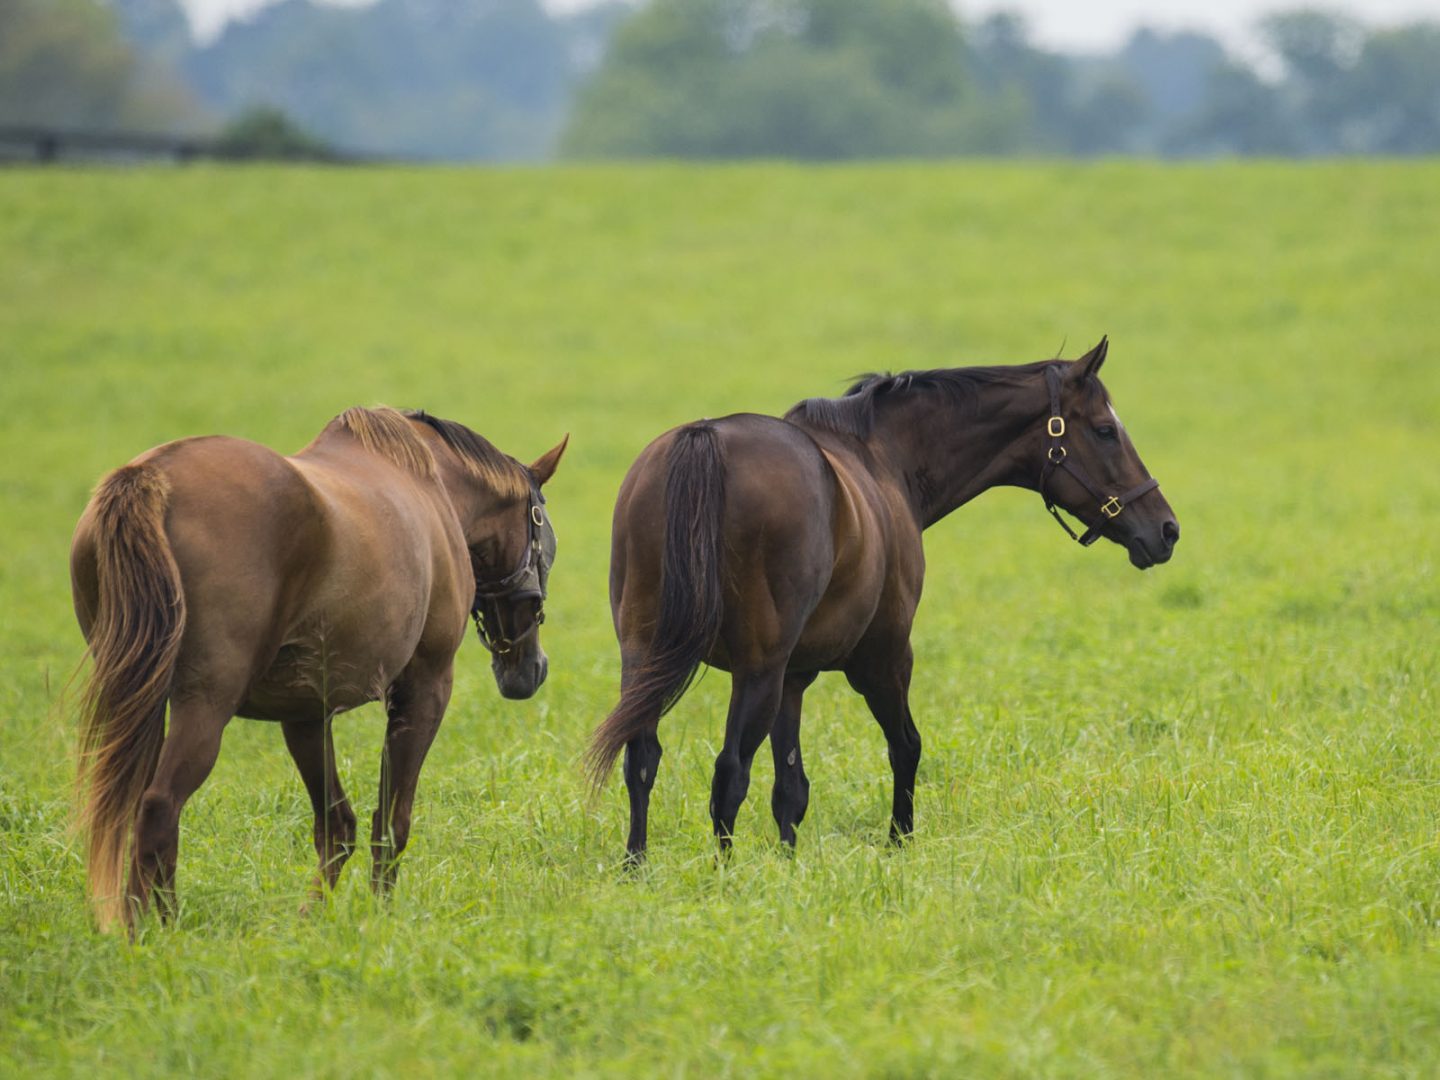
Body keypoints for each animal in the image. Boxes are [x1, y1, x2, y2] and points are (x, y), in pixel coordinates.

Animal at [74, 408, 567, 933]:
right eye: (546, 540)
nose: (529, 670)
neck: (433, 485)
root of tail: (148, 478)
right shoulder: (425, 688)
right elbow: (391, 822)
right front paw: (380, 917)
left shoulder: (307, 710)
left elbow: (336, 826)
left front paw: (311, 920)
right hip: (204, 704)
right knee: (158, 807)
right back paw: (153, 930)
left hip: (141, 701)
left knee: (133, 810)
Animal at [590, 338, 1175, 864]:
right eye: (1104, 430)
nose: (1167, 530)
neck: (881, 458)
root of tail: (705, 438)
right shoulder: (883, 658)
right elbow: (906, 746)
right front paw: (900, 843)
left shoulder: (794, 678)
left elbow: (790, 787)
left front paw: (789, 863)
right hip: (757, 671)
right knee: (729, 771)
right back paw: (724, 876)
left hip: (646, 656)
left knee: (643, 757)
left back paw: (637, 865)